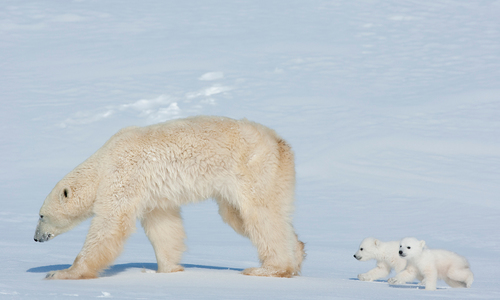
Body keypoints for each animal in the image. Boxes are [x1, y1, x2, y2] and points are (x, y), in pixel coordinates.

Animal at [34, 116, 304, 278]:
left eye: (41, 215)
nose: (36, 238)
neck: (103, 161)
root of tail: (281, 143)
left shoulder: (124, 174)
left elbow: (109, 225)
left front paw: (62, 273)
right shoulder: (152, 195)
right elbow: (163, 227)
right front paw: (168, 270)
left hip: (254, 169)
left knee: (260, 215)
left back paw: (268, 269)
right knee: (242, 217)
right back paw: (298, 254)